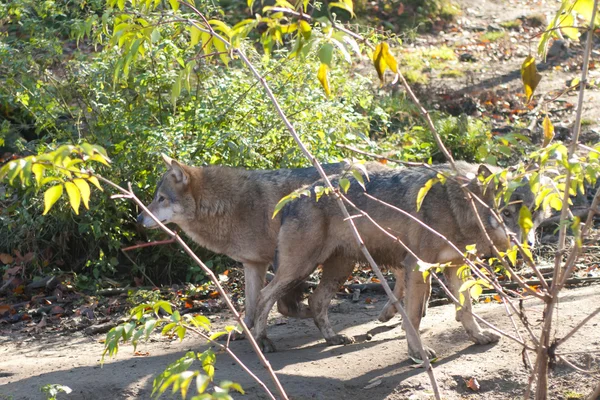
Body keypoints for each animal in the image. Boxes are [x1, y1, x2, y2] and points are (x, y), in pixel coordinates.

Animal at [137, 155, 390, 328]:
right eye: (155, 197)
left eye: (161, 199)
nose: (138, 218)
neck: (230, 206)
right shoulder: (253, 265)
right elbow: (251, 306)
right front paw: (247, 333)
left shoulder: (281, 263)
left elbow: (282, 305)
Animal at [251, 162, 548, 360]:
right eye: (505, 213)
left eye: (532, 211)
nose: (526, 246)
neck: (459, 207)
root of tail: (293, 197)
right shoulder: (417, 267)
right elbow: (413, 317)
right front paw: (417, 353)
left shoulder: (456, 267)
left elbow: (465, 308)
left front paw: (477, 336)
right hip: (301, 268)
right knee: (264, 297)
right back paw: (261, 341)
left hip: (339, 268)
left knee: (315, 300)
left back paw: (333, 337)